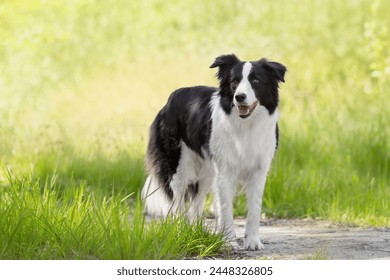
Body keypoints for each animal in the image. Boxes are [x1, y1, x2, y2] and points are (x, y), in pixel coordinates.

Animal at [142, 54, 286, 249]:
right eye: (234, 82)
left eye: (256, 80)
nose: (239, 97)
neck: (247, 125)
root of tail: (170, 99)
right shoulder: (225, 171)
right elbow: (225, 208)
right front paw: (229, 242)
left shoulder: (259, 170)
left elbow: (255, 208)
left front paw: (253, 242)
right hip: (179, 165)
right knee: (178, 199)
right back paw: (181, 233)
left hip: (207, 172)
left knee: (196, 200)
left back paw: (195, 233)